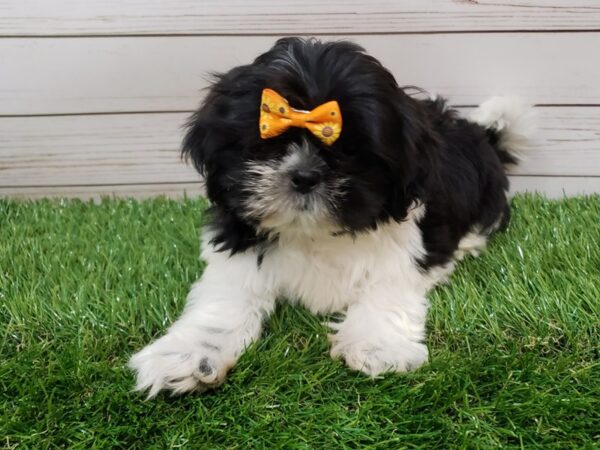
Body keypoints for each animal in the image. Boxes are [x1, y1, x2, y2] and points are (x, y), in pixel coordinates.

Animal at [129, 37, 532, 398]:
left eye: (350, 151)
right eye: (267, 144)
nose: (305, 175)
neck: (314, 233)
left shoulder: (408, 246)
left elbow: (388, 286)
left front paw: (375, 344)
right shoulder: (237, 250)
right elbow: (223, 302)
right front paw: (187, 355)